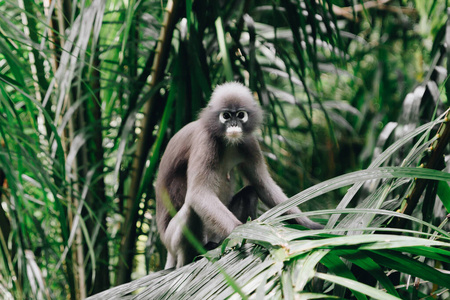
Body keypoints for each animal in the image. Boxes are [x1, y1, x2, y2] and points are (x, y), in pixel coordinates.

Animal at [156, 82, 322, 270]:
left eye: (240, 115)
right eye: (226, 116)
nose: (234, 124)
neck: (227, 141)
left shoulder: (249, 143)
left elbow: (263, 184)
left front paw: (312, 226)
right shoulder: (205, 140)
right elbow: (199, 193)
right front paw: (245, 233)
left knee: (250, 192)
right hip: (172, 240)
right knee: (192, 209)